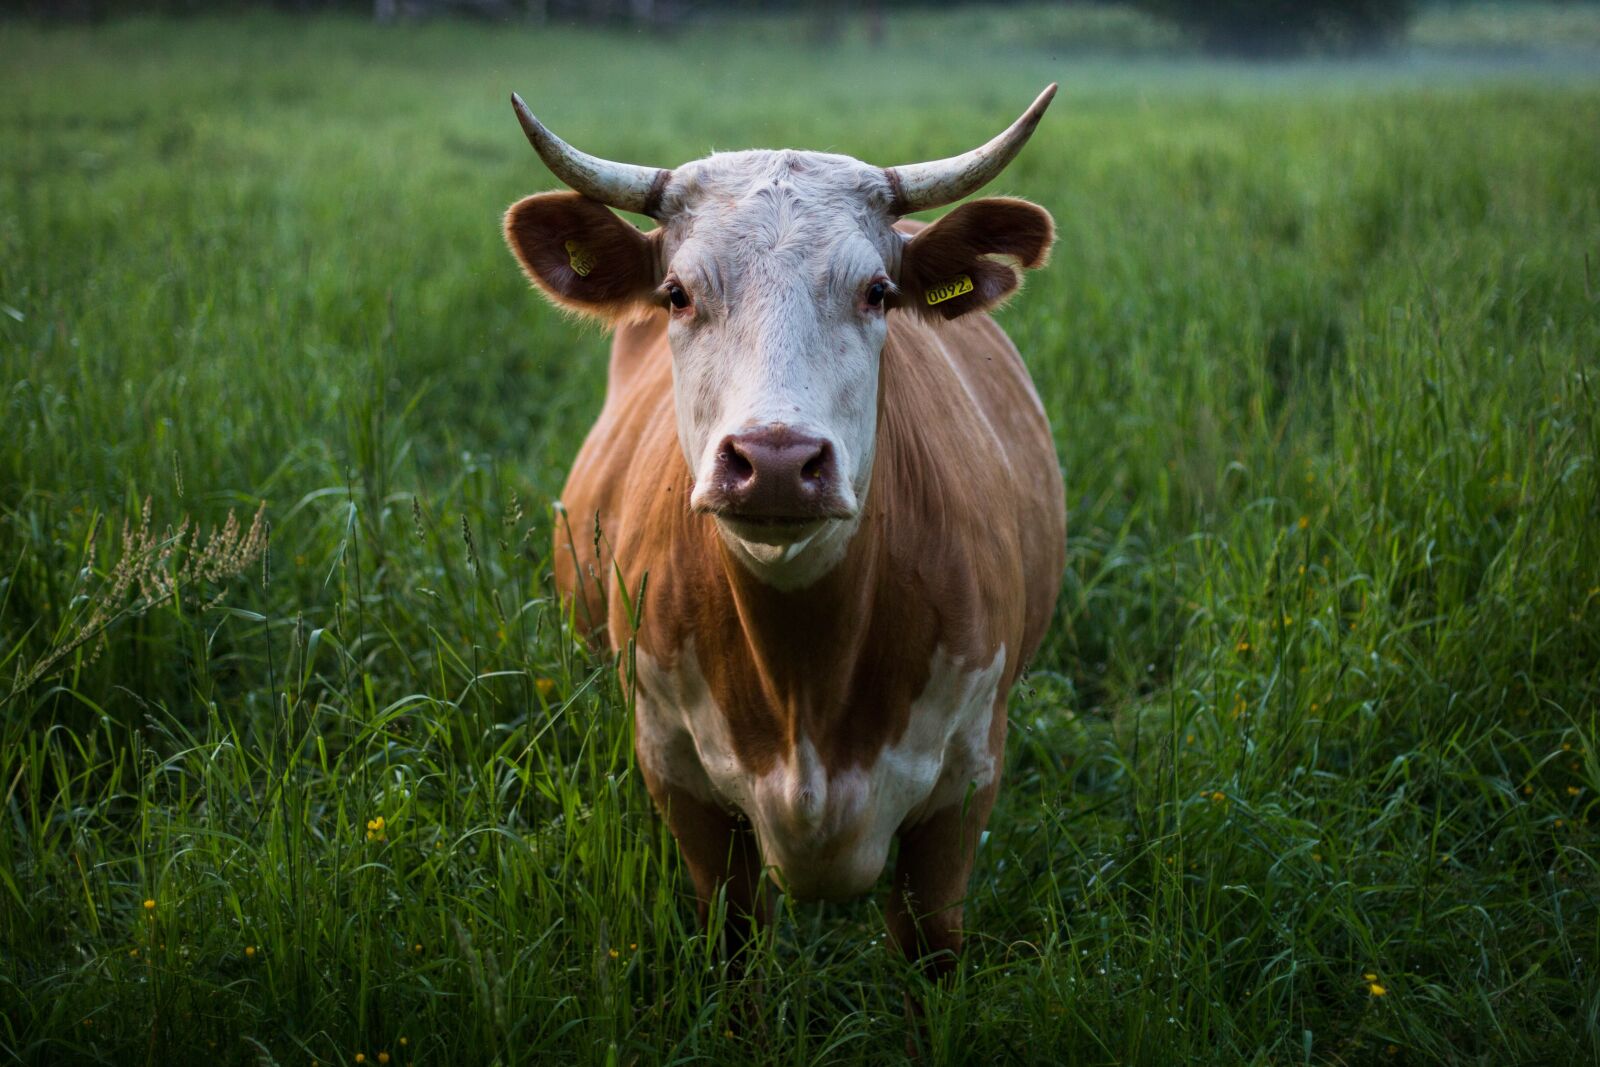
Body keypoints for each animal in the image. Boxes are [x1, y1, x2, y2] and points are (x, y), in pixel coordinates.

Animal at [502, 87, 1066, 991]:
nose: (773, 461)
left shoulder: (964, 786)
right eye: (676, 293)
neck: (807, 674)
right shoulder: (680, 780)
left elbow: (929, 950)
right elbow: (736, 947)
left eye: (878, 291)